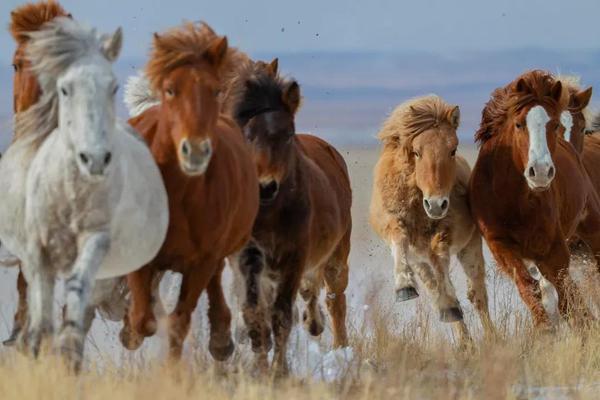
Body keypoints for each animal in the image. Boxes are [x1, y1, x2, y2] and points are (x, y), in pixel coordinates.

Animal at [0, 18, 169, 368]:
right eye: (65, 88)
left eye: (112, 87)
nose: (95, 158)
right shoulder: (35, 247)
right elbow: (40, 301)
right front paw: (36, 344)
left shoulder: (96, 241)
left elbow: (79, 292)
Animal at [119, 22, 258, 362]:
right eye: (170, 89)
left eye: (215, 90)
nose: (195, 150)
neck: (175, 195)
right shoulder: (141, 254)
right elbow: (144, 319)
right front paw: (131, 330)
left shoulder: (202, 261)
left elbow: (178, 323)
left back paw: (221, 339)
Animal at [227, 59, 354, 376]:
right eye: (248, 134)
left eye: (287, 134)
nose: (266, 186)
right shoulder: (247, 258)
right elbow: (254, 314)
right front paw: (260, 367)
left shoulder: (293, 257)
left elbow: (282, 315)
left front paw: (279, 371)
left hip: (336, 255)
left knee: (335, 299)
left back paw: (340, 349)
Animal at [370, 95, 492, 342]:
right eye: (416, 152)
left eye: (453, 149)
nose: (436, 204)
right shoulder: (393, 224)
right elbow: (398, 238)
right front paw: (404, 287)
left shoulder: (446, 231)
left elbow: (440, 258)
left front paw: (450, 304)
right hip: (420, 262)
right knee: (434, 289)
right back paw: (464, 341)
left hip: (470, 248)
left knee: (478, 295)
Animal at [468, 71, 600, 328]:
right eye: (519, 124)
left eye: (554, 124)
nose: (540, 171)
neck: (514, 200)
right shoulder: (500, 245)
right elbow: (529, 287)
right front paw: (544, 329)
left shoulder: (553, 246)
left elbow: (566, 294)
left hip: (591, 225)